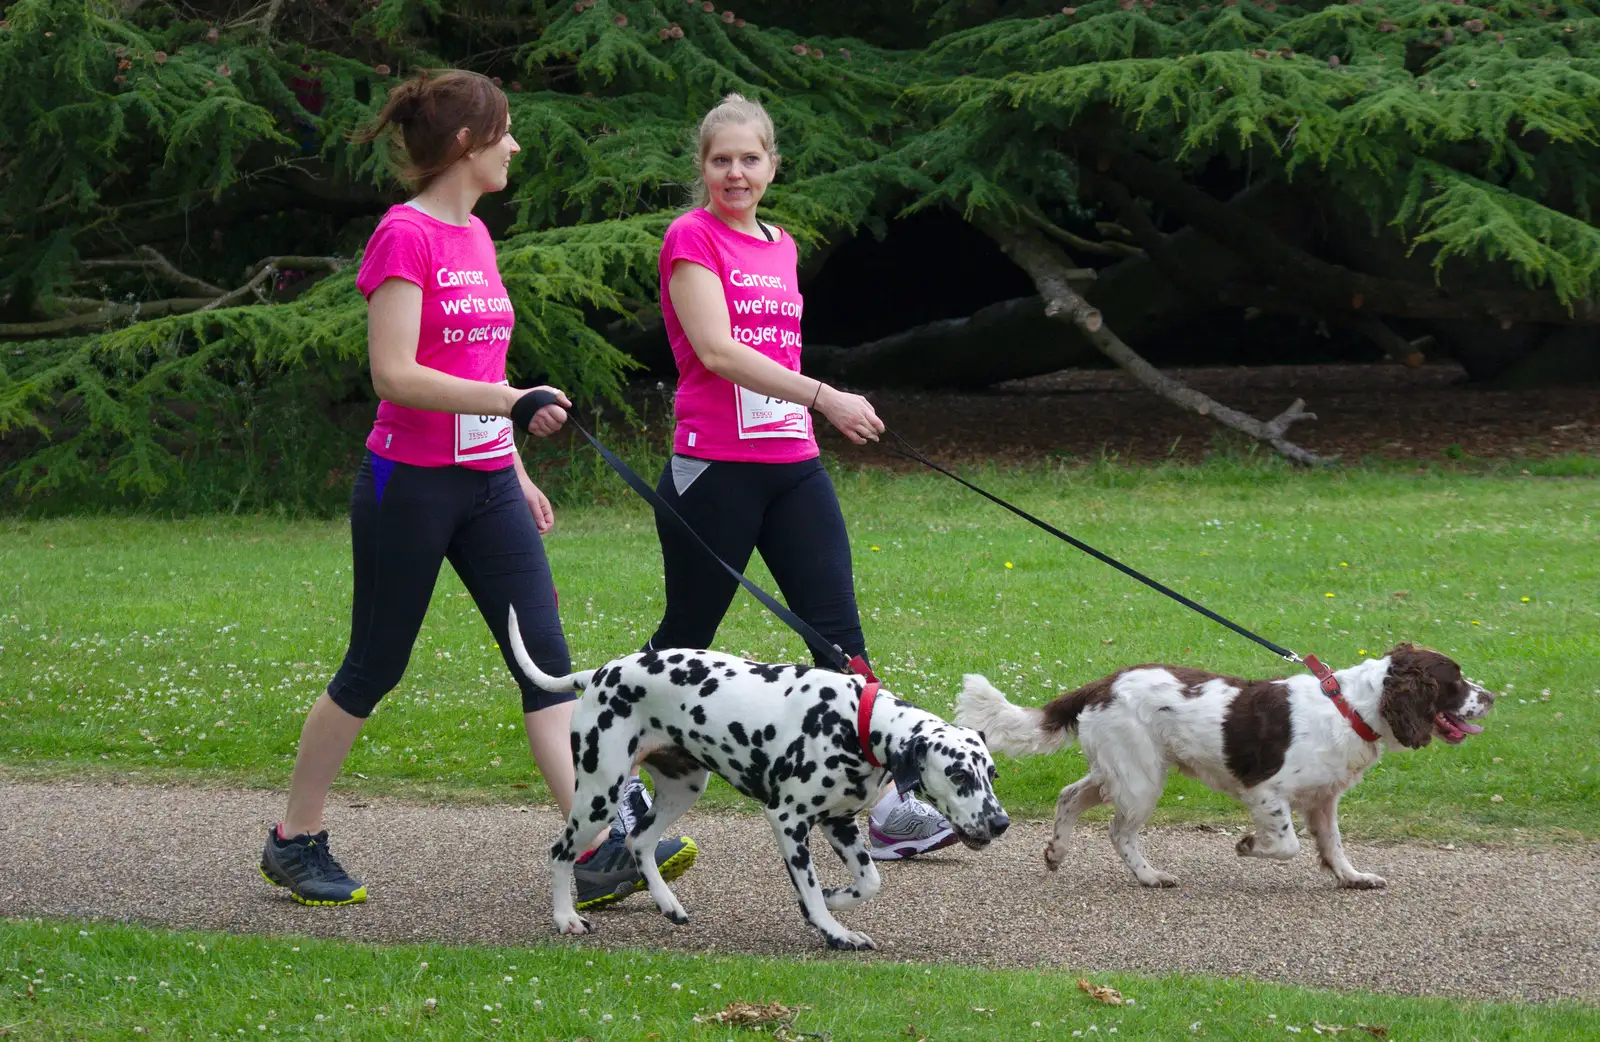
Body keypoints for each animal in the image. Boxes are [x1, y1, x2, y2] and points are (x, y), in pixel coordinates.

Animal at [505, 601, 1004, 953]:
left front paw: (837, 899)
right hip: (599, 794)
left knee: (639, 841)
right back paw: (565, 918)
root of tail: (600, 674)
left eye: (992, 773)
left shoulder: (839, 823)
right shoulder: (789, 821)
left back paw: (668, 903)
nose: (1001, 823)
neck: (856, 721)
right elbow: (809, 890)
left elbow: (869, 882)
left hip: (684, 788)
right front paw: (832, 930)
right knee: (560, 852)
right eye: (959, 774)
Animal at [947, 643, 1484, 889]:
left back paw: (1057, 853)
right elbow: (1286, 844)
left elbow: (1332, 845)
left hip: (1121, 769)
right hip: (1141, 778)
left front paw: (1353, 878)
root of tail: (1103, 683)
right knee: (1119, 831)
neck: (1350, 707)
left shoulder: (1323, 800)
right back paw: (1150, 876)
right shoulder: (1265, 791)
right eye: (1456, 680)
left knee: (1069, 796)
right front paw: (1248, 845)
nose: (1493, 697)